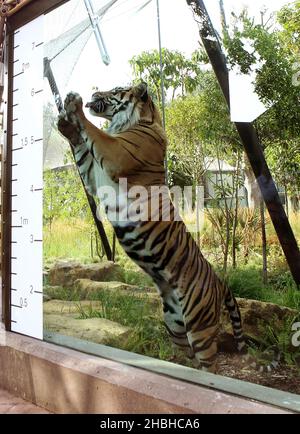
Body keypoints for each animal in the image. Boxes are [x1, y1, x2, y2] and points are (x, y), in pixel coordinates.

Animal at [56, 83, 278, 372]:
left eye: (116, 89)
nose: (94, 93)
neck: (141, 120)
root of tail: (220, 281)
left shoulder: (115, 154)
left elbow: (94, 132)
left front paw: (74, 105)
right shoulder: (95, 178)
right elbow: (82, 152)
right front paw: (65, 125)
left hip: (199, 326)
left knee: (210, 364)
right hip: (174, 323)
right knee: (188, 358)